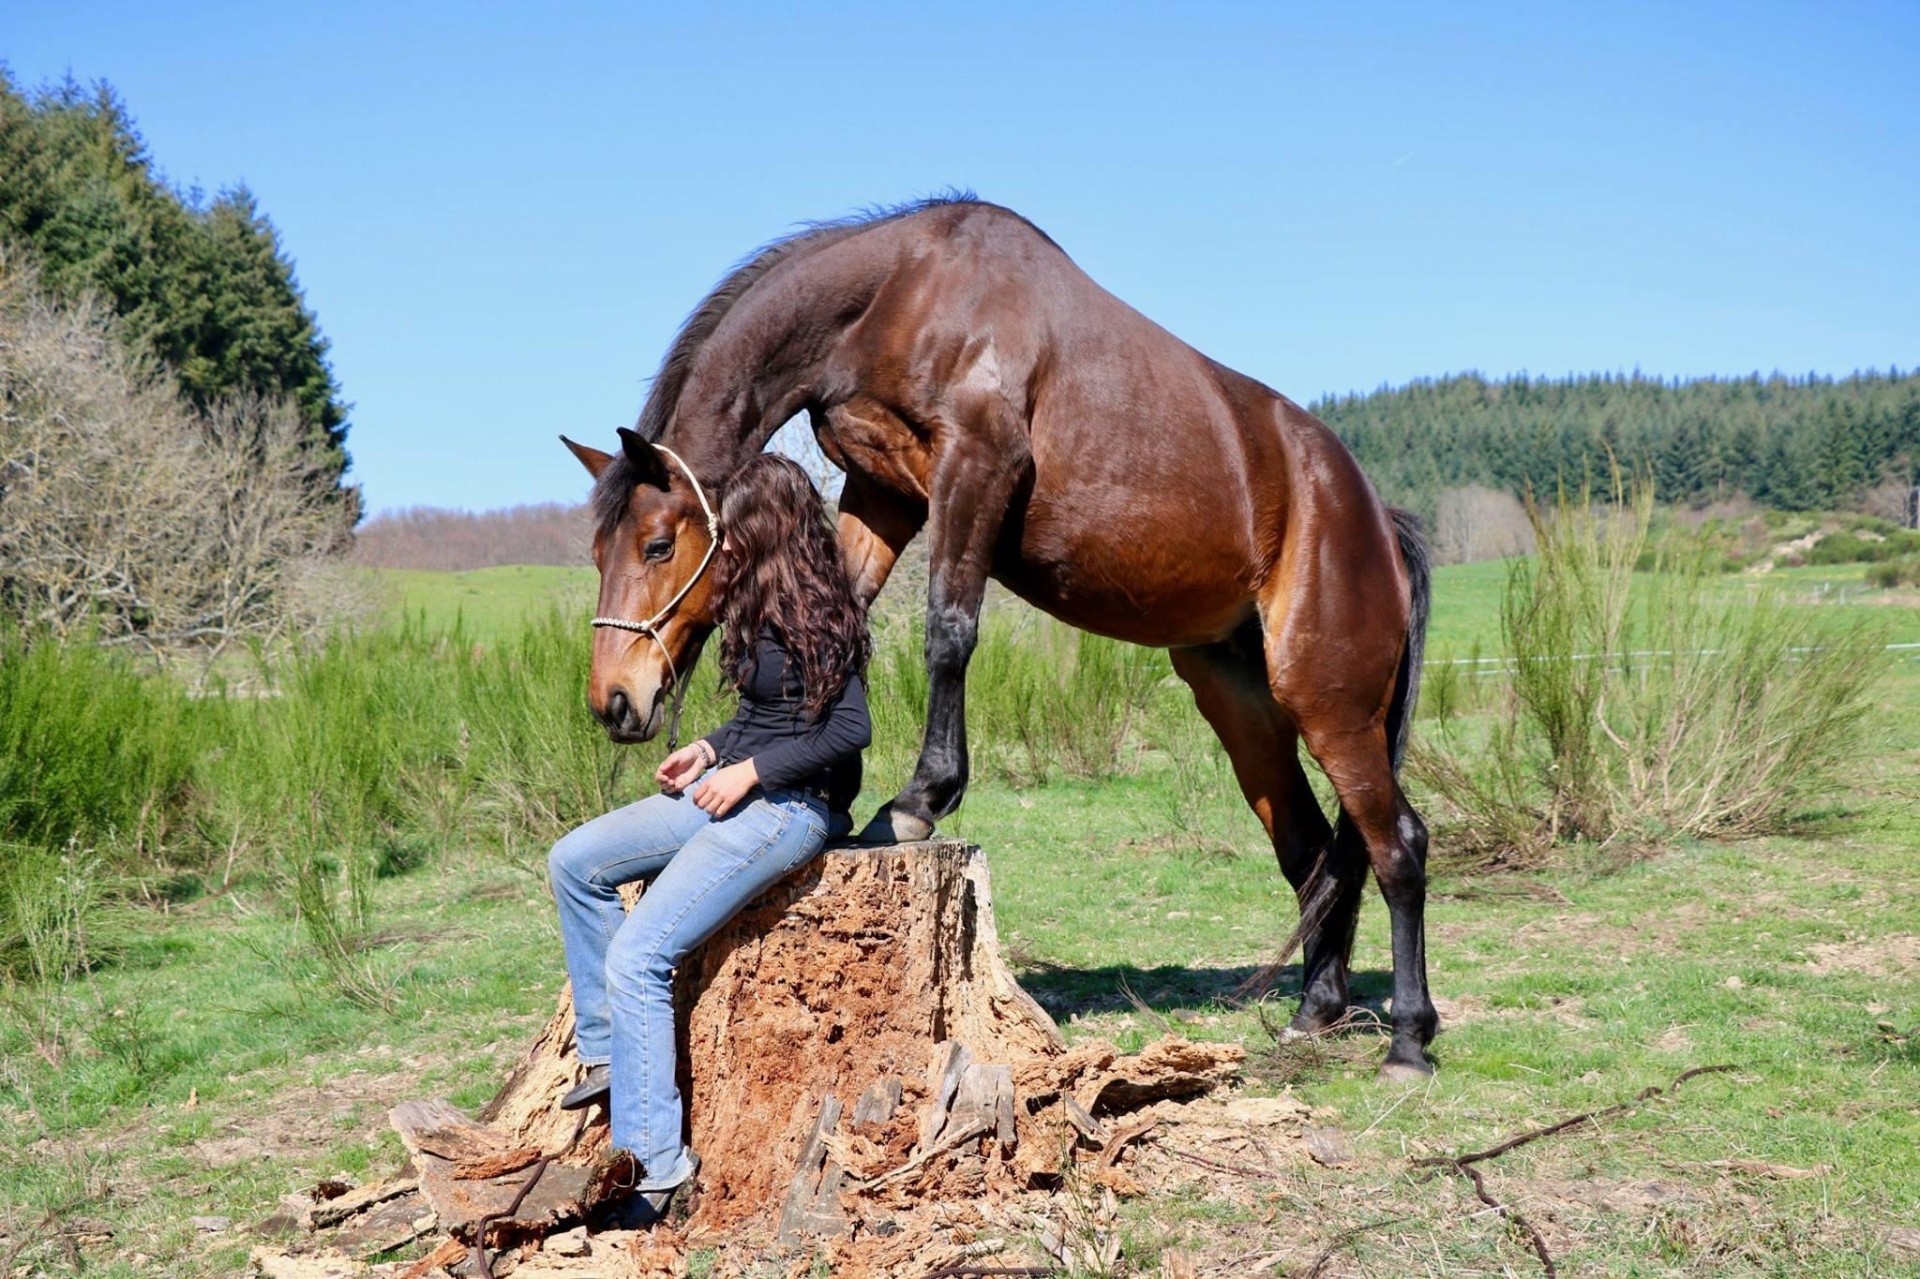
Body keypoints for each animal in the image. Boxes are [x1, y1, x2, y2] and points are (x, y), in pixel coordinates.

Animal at [559, 195, 1437, 1078]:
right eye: (598, 551)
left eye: (657, 545)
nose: (614, 700)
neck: (901, 293)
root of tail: (1373, 515)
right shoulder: (881, 488)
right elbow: (847, 617)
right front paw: (834, 788)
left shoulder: (976, 466)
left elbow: (949, 628)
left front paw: (916, 801)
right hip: (1241, 702)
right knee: (1316, 854)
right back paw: (1315, 1011)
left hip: (1330, 702)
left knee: (1397, 842)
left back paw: (1408, 1039)